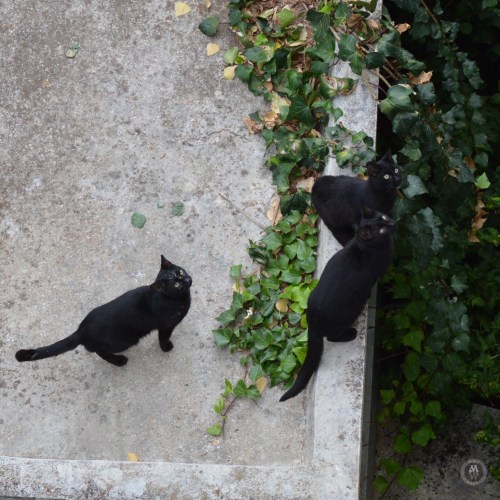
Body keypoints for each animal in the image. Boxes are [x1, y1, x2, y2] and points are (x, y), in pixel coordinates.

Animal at [15, 255, 191, 366]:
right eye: (176, 284)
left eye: (181, 272)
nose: (188, 279)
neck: (181, 299)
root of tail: (81, 330)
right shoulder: (166, 326)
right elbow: (163, 338)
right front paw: (166, 347)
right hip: (124, 341)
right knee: (100, 352)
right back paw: (119, 361)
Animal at [280, 209, 395, 402]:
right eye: (381, 230)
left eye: (385, 218)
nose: (393, 224)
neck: (363, 246)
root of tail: (312, 323)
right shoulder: (373, 276)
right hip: (351, 310)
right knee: (332, 337)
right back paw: (351, 333)